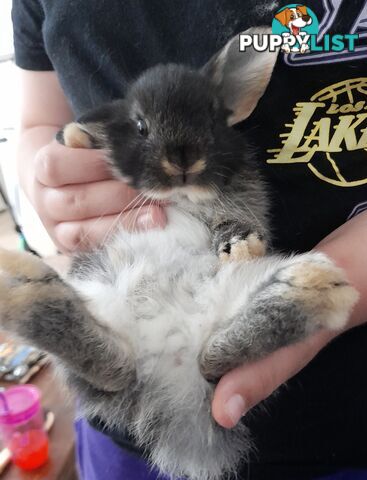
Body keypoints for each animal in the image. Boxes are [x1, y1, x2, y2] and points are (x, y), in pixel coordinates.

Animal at [0, 27, 360, 480]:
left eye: (211, 116)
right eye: (140, 126)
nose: (183, 158)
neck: (182, 194)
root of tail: (170, 364)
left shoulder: (241, 194)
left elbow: (237, 218)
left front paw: (241, 245)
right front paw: (77, 137)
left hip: (233, 296)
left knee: (207, 359)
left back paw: (313, 288)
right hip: (98, 294)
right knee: (118, 368)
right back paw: (22, 288)